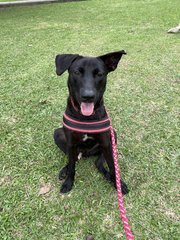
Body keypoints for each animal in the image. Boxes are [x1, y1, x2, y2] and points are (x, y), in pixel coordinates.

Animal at [54, 51, 129, 195]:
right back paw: (65, 170)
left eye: (99, 74)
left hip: (112, 136)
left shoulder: (106, 143)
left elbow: (112, 166)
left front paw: (118, 184)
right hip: (58, 134)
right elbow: (72, 167)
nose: (88, 96)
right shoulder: (70, 143)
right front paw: (68, 182)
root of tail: (86, 153)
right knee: (73, 159)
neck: (86, 117)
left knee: (98, 163)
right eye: (77, 72)